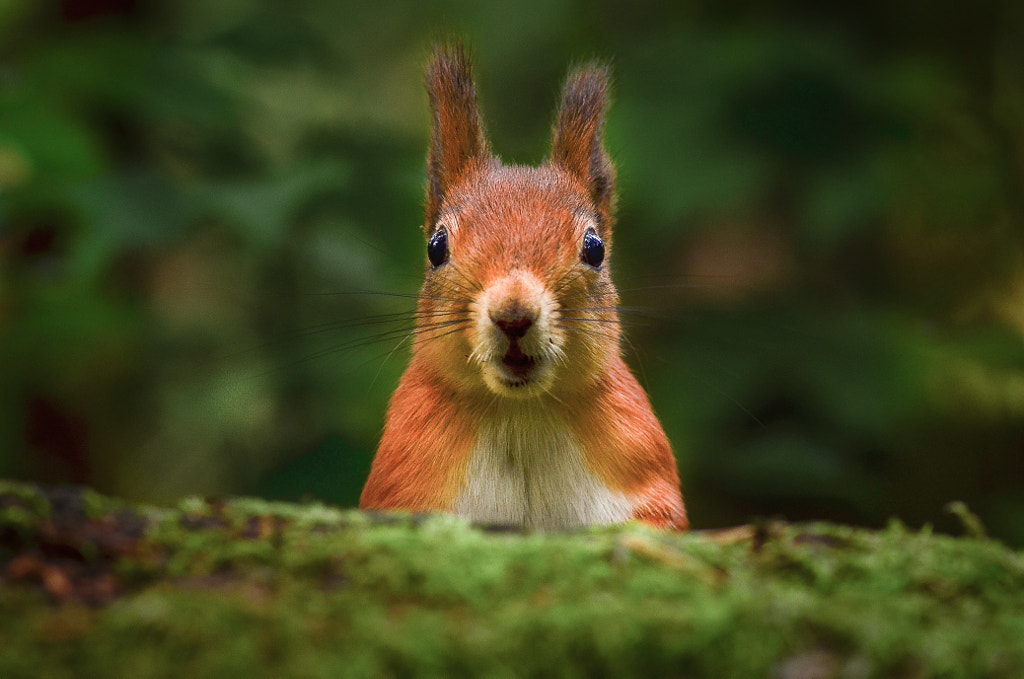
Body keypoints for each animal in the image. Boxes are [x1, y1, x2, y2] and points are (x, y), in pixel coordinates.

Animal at [360, 46, 688, 532]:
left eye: (595, 248)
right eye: (436, 247)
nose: (513, 315)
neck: (520, 411)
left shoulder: (641, 469)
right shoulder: (401, 482)